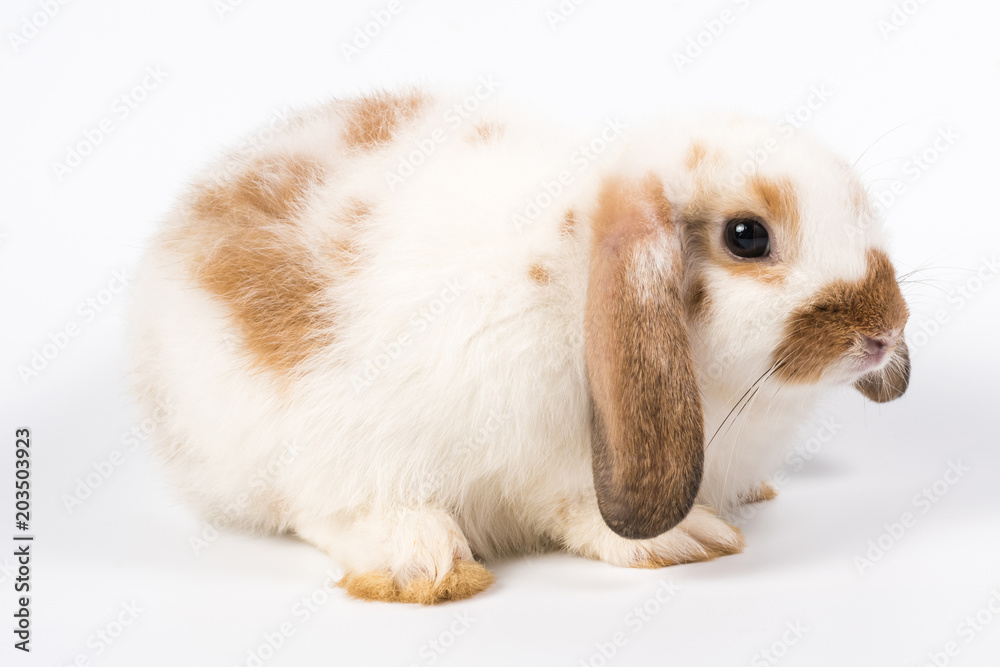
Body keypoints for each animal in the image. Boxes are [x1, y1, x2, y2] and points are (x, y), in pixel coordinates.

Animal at [129, 87, 910, 604]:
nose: (884, 331)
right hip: (316, 447)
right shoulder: (554, 466)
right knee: (331, 508)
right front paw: (685, 541)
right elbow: (580, 512)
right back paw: (423, 560)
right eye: (747, 236)